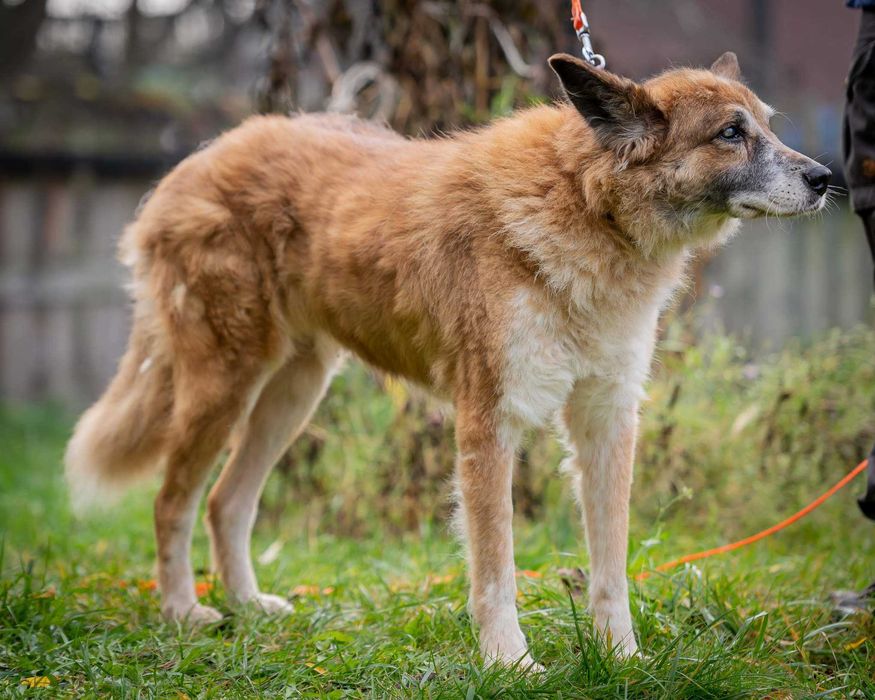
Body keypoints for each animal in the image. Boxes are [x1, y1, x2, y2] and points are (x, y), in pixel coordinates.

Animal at [65, 53, 832, 668]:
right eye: (730, 134)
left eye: (767, 126)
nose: (826, 178)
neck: (585, 207)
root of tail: (198, 159)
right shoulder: (489, 426)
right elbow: (495, 569)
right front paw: (509, 664)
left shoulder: (606, 423)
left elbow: (610, 567)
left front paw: (623, 660)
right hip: (224, 385)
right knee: (172, 500)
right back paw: (183, 614)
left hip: (293, 392)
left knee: (227, 500)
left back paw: (249, 608)